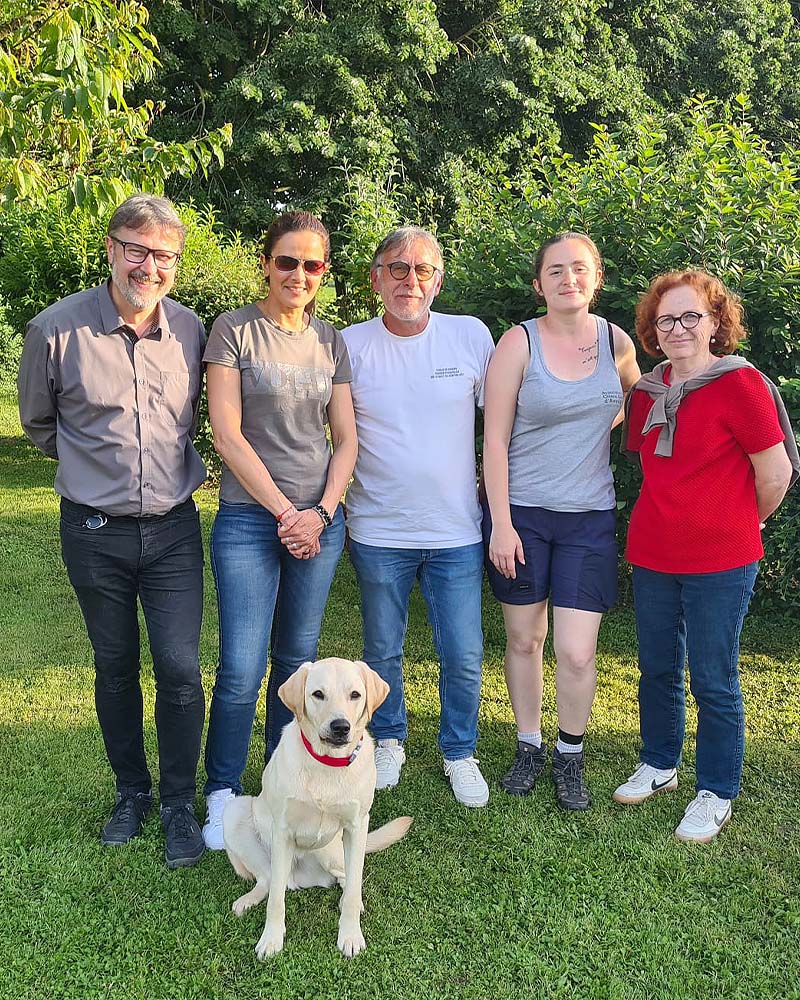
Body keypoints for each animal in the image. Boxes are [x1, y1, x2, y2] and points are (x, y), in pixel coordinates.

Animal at [223, 656, 412, 960]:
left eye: (355, 695)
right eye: (318, 694)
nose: (340, 726)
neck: (328, 764)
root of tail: (297, 877)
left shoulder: (357, 825)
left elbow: (354, 886)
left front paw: (350, 935)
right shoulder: (282, 831)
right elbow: (276, 899)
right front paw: (271, 939)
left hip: (332, 853)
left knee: (347, 878)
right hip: (235, 813)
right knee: (269, 880)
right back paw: (249, 899)